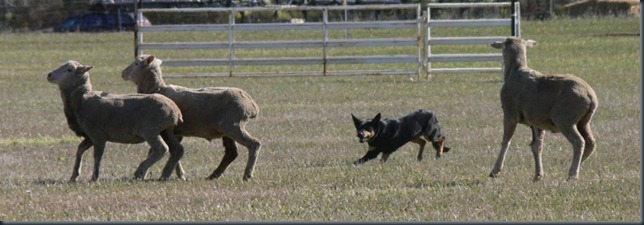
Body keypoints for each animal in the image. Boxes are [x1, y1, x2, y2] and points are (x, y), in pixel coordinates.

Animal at [46, 60, 184, 183]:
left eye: (69, 69)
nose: (49, 75)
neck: (82, 99)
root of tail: (175, 110)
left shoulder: (98, 135)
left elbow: (97, 156)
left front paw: (94, 178)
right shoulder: (90, 136)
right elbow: (80, 150)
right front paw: (74, 176)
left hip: (150, 131)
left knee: (161, 149)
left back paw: (140, 171)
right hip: (166, 131)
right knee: (177, 150)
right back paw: (164, 175)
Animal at [121, 54, 262, 181]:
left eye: (136, 64)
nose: (123, 73)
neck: (157, 88)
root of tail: (252, 104)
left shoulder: (167, 130)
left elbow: (162, 151)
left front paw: (147, 173)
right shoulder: (176, 132)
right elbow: (173, 151)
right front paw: (180, 175)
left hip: (233, 126)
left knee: (254, 144)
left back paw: (247, 175)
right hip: (227, 130)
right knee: (231, 152)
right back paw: (213, 175)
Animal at [488, 37, 600, 181]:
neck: (515, 71)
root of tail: (590, 96)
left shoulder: (509, 114)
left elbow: (506, 141)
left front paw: (495, 171)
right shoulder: (537, 122)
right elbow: (537, 146)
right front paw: (538, 175)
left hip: (565, 120)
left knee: (578, 141)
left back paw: (572, 174)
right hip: (584, 121)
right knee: (590, 143)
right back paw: (575, 167)